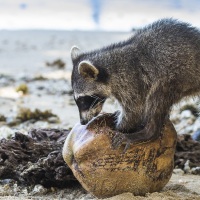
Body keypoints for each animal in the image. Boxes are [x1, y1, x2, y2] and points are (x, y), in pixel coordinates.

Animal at [70, 18, 200, 147]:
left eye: (82, 100)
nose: (82, 122)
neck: (110, 69)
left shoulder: (132, 82)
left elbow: (134, 112)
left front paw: (119, 127)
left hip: (174, 76)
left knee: (156, 100)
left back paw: (148, 132)